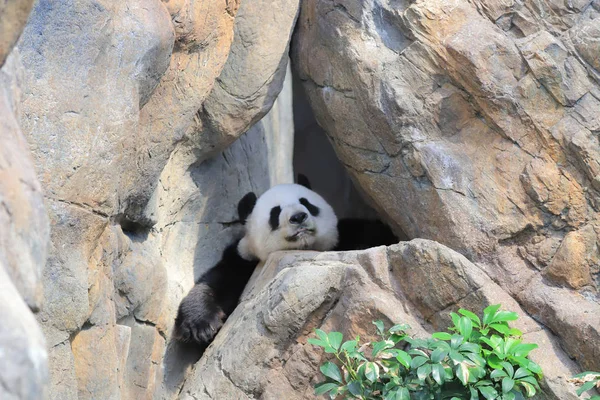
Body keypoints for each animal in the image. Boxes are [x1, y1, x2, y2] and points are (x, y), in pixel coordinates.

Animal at [173, 177, 398, 346]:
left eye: (306, 202)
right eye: (275, 212)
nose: (298, 217)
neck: (303, 249)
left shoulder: (343, 237)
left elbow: (373, 232)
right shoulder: (244, 261)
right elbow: (216, 282)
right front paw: (202, 325)